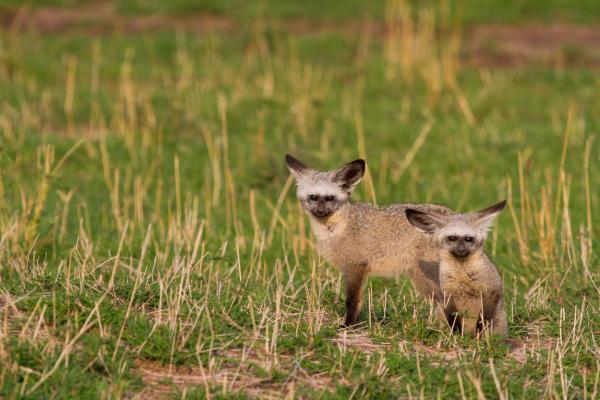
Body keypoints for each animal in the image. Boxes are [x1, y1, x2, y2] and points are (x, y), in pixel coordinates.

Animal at [284, 155, 452, 326]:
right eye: (313, 197)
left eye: (330, 198)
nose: (320, 211)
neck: (337, 229)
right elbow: (358, 301)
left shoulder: (355, 267)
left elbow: (352, 301)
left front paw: (348, 325)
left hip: (424, 277)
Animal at [406, 202, 508, 336]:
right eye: (452, 238)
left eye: (468, 239)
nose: (461, 250)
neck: (462, 277)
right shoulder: (449, 297)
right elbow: (453, 320)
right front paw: (456, 335)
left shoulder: (491, 294)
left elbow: (483, 319)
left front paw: (476, 335)